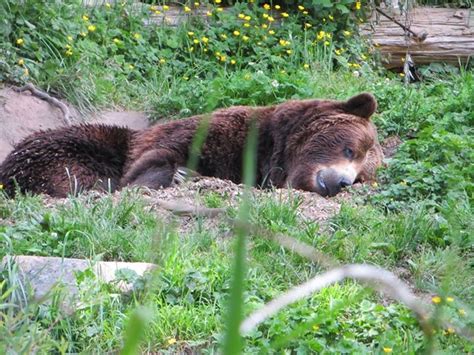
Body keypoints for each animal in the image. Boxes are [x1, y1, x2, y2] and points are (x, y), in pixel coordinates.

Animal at [0, 93, 384, 199]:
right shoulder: (218, 135)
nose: (341, 182)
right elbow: (154, 159)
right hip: (72, 145)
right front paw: (177, 175)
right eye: (350, 149)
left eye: (362, 176)